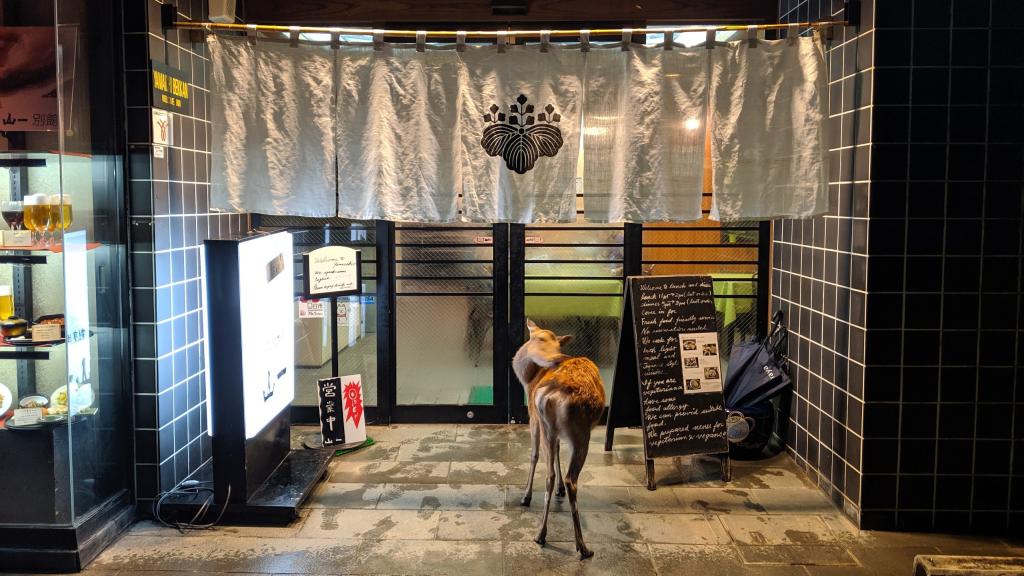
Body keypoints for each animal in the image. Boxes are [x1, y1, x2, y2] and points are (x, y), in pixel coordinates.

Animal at [512, 315, 606, 557]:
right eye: (537, 337)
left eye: (558, 344)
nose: (558, 358)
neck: (529, 381)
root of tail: (552, 395)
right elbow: (553, 452)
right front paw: (556, 492)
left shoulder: (533, 417)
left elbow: (534, 455)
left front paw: (526, 495)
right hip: (575, 433)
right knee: (564, 477)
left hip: (568, 431)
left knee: (557, 475)